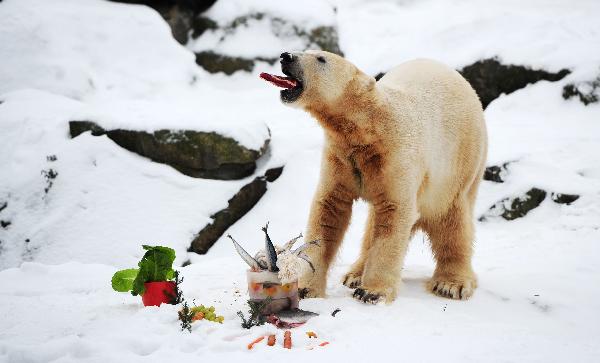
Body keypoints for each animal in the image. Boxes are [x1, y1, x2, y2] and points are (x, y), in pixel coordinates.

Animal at [260, 49, 486, 302]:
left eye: (320, 58)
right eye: (305, 51)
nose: (286, 56)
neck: (368, 128)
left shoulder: (395, 155)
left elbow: (393, 213)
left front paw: (372, 292)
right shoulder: (341, 158)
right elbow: (329, 210)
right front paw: (305, 288)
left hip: (459, 164)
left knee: (452, 220)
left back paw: (451, 284)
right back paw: (354, 274)